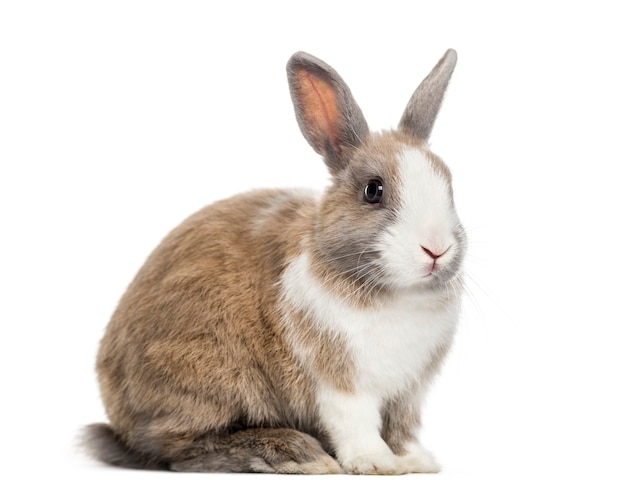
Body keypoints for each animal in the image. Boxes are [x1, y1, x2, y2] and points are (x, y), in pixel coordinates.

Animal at [83, 49, 464, 474]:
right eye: (373, 190)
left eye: (449, 185)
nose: (436, 249)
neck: (397, 294)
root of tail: (120, 421)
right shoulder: (339, 383)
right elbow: (355, 423)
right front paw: (376, 463)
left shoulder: (407, 394)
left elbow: (401, 428)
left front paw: (417, 461)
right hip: (206, 374)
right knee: (182, 450)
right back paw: (297, 453)